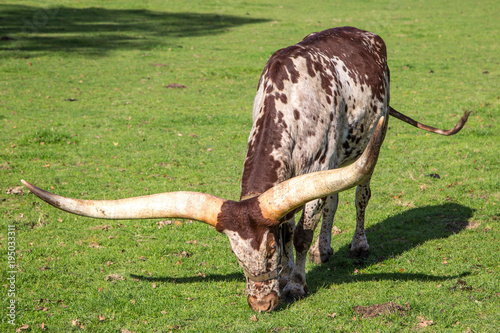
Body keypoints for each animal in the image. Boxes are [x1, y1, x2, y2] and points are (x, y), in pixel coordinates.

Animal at [22, 26, 468, 312]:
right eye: (237, 256)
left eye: (266, 253)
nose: (261, 303)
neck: (291, 103)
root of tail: (363, 33)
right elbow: (296, 223)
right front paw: (291, 274)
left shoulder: (319, 164)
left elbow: (300, 232)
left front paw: (295, 283)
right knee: (333, 199)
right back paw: (326, 249)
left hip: (370, 139)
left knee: (360, 194)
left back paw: (357, 244)